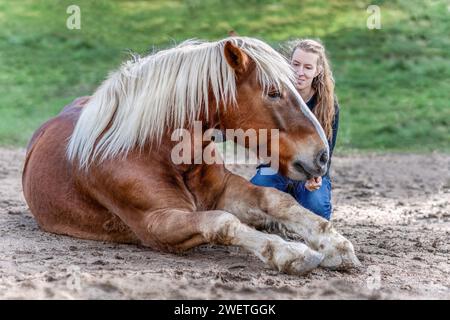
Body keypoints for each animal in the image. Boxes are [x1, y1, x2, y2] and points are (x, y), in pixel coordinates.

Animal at [22, 36, 362, 274]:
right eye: (273, 92)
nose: (321, 155)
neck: (153, 149)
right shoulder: (157, 224)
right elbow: (222, 223)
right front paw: (292, 252)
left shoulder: (225, 190)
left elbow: (277, 200)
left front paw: (334, 244)